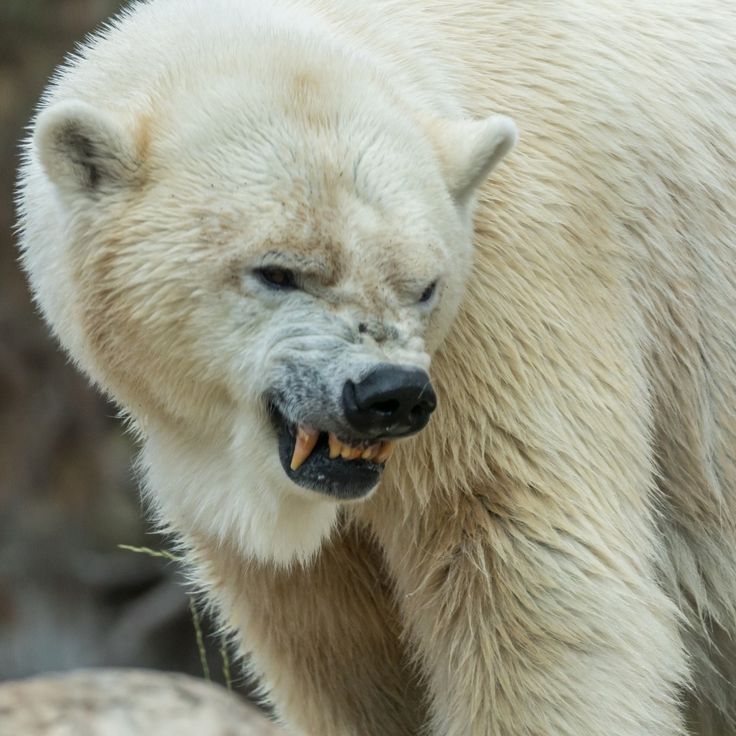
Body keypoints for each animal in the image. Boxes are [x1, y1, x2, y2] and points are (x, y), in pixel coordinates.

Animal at [16, 0, 736, 734]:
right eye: (278, 271)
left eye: (425, 286)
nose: (388, 393)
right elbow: (342, 656)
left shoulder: (513, 291)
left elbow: (533, 581)